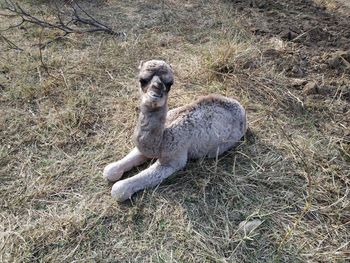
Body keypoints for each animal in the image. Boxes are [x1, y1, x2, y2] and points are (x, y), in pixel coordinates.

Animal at [104, 60, 246, 202]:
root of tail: (240, 106)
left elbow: (119, 189)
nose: (155, 93)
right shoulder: (146, 149)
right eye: (142, 80)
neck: (162, 139)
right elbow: (109, 171)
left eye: (170, 83)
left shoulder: (174, 159)